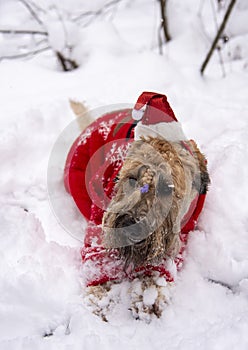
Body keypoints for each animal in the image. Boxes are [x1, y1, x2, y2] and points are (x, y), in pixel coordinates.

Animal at [65, 91, 209, 322]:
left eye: (166, 188)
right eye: (132, 178)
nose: (131, 224)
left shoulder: (182, 233)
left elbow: (160, 267)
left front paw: (149, 295)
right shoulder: (100, 220)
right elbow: (98, 255)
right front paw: (99, 297)